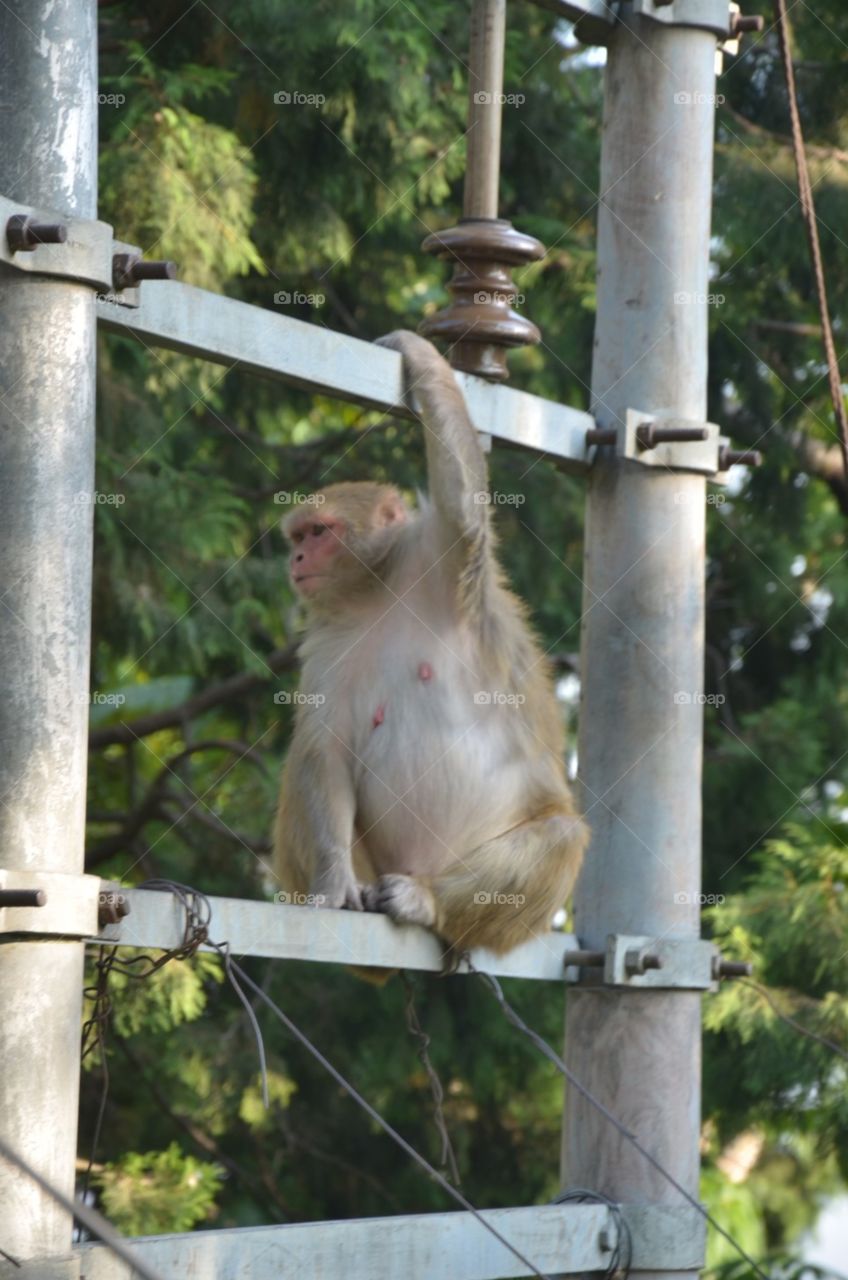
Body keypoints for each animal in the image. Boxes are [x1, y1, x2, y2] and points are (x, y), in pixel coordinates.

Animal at [272, 330, 588, 959]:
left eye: (319, 532)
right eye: (298, 536)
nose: (295, 558)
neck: (379, 588)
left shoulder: (442, 552)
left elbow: (462, 512)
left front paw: (419, 354)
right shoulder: (328, 641)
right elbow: (326, 745)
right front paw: (333, 878)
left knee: (561, 835)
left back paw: (428, 902)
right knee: (306, 757)